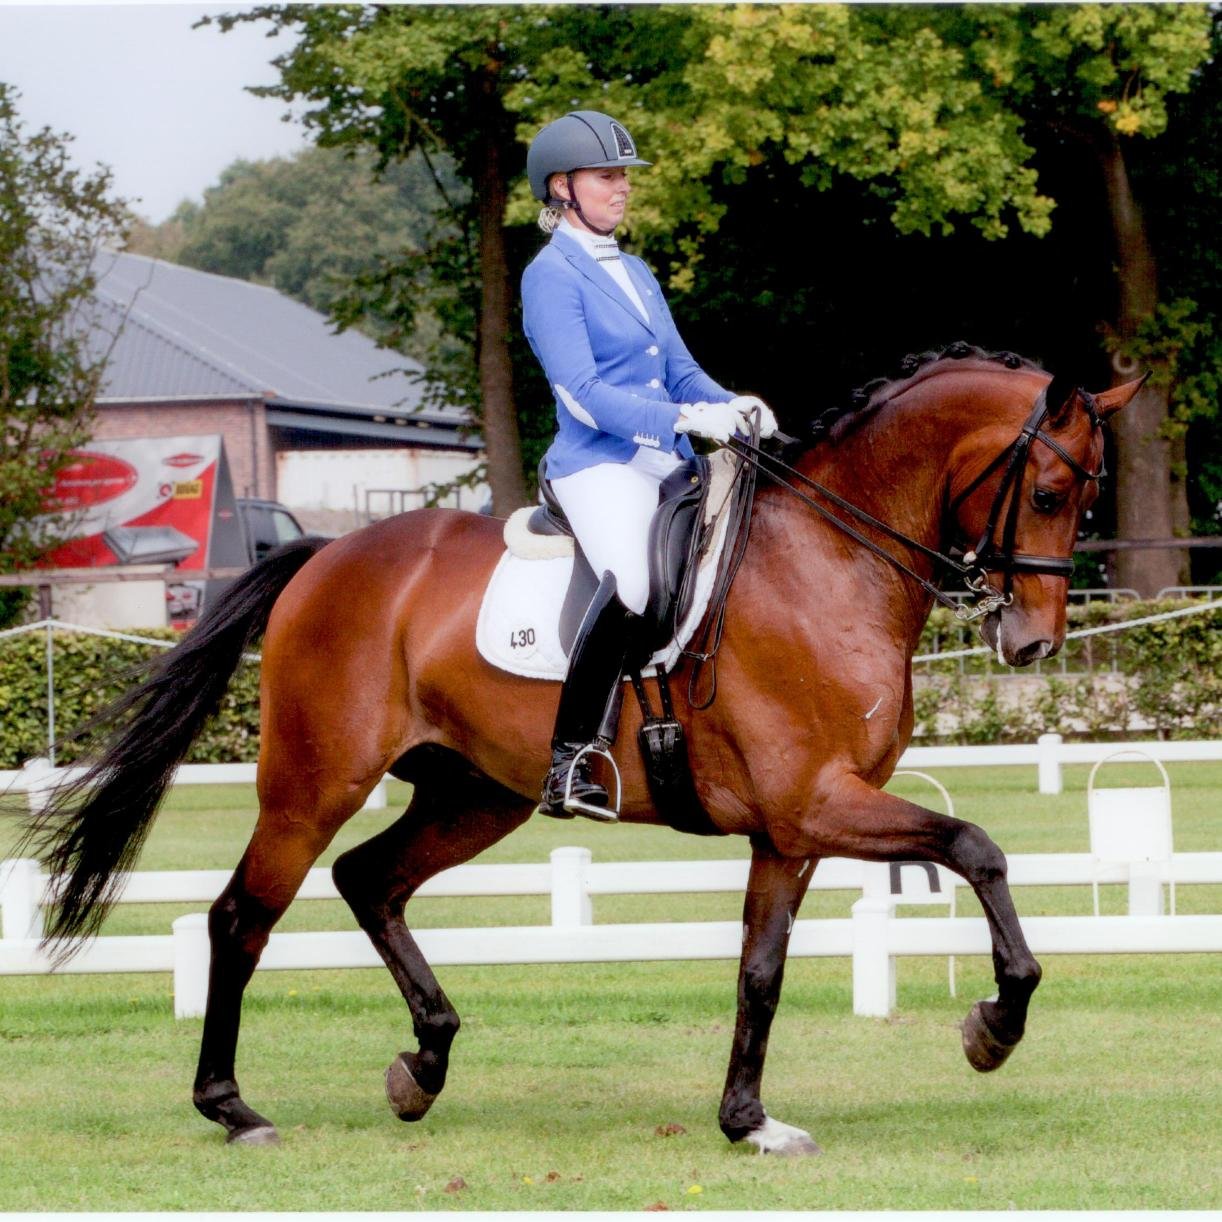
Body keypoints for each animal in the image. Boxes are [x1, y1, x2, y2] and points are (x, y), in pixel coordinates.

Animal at [23, 347, 1144, 1154]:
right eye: (1050, 495)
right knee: (241, 916)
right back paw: (233, 1107)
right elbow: (976, 846)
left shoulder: (790, 829)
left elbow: (761, 971)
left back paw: (423, 1066)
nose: (1032, 643)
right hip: (312, 784)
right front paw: (994, 1025)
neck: (830, 559)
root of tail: (328, 554)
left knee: (369, 880)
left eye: (1088, 500)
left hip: (477, 794)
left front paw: (748, 1121)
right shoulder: (816, 801)